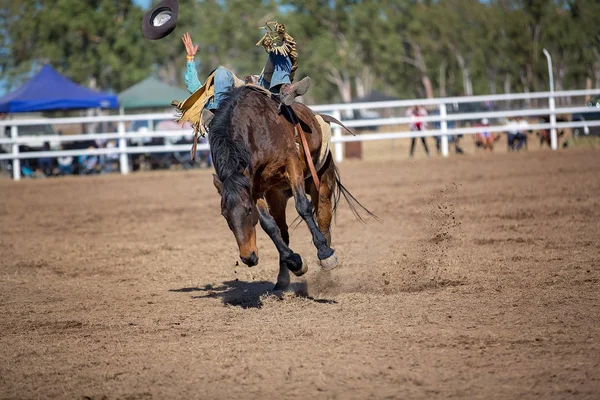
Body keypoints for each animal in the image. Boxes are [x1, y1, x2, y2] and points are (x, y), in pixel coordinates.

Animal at [209, 86, 372, 290]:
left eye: (248, 210)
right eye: (224, 215)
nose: (248, 257)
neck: (256, 130)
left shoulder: (291, 163)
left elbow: (302, 207)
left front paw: (324, 253)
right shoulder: (255, 187)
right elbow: (268, 225)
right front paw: (296, 262)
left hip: (322, 185)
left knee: (324, 224)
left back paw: (326, 267)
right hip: (277, 196)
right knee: (283, 231)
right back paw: (284, 277)